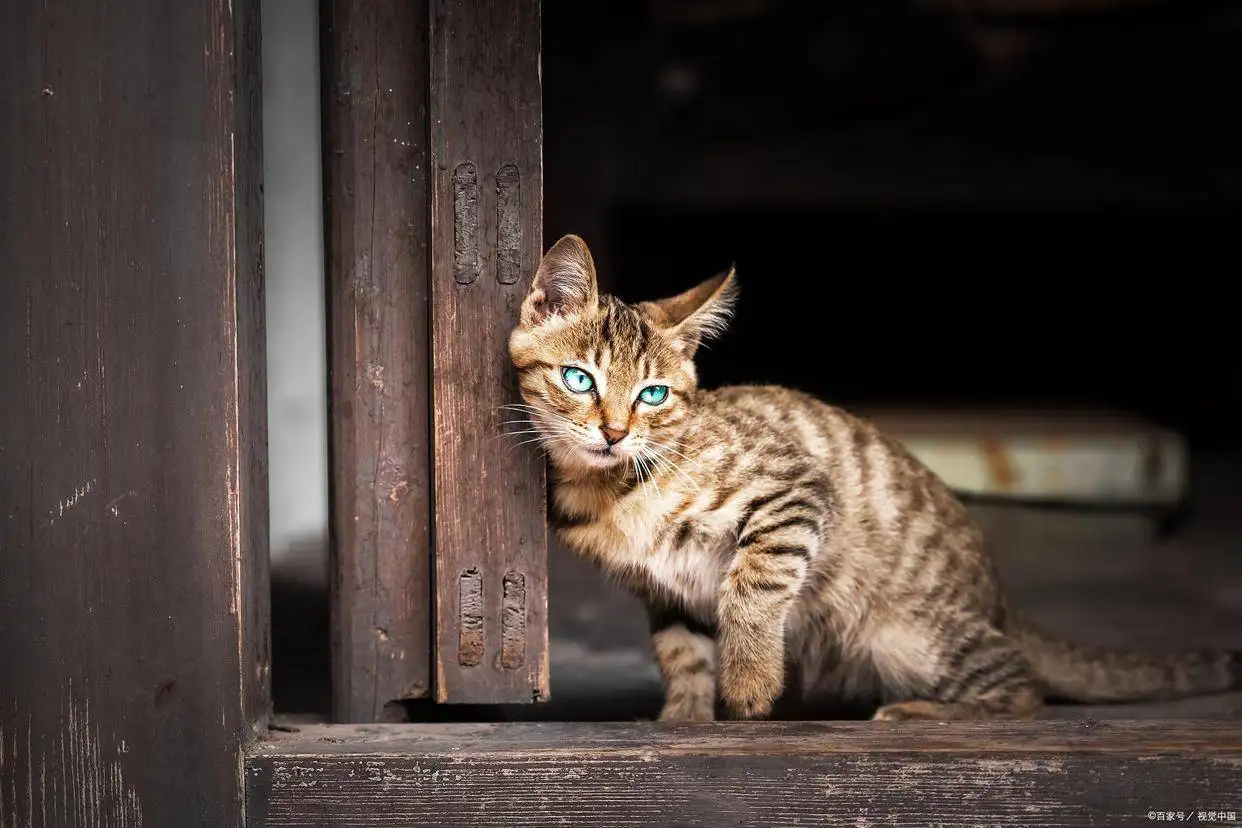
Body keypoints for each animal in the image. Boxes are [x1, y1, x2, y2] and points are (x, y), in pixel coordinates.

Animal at [504, 232, 1242, 720]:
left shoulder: (794, 490)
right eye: (579, 379)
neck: (613, 486)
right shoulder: (667, 591)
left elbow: (753, 584)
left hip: (911, 636)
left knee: (1022, 687)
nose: (614, 433)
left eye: (653, 395)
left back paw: (926, 714)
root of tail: (1002, 604)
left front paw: (751, 681)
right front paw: (684, 719)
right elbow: (683, 654)